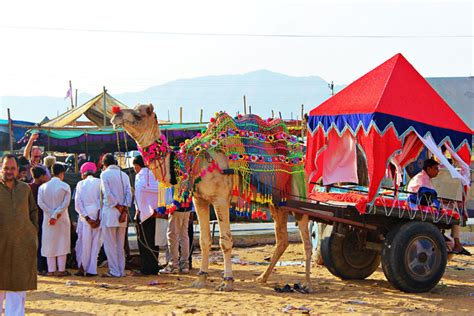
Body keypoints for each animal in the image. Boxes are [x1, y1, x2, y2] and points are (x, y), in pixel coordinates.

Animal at [112, 105, 314, 292]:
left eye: (141, 113)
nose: (116, 114)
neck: (193, 161)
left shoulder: (220, 199)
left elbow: (225, 241)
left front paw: (227, 282)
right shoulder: (200, 200)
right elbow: (204, 240)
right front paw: (200, 279)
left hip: (301, 196)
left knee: (306, 240)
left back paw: (306, 284)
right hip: (278, 201)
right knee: (282, 239)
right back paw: (263, 277)